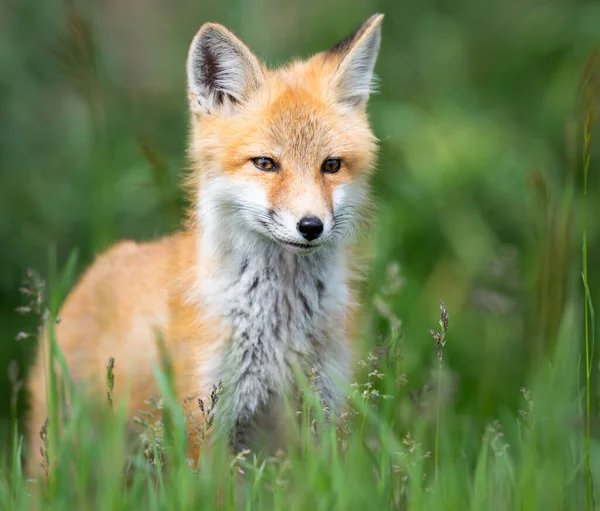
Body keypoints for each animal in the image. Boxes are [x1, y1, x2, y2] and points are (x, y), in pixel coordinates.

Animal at [25, 11, 382, 468]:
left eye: (331, 165)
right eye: (265, 163)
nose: (311, 226)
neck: (279, 321)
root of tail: (94, 270)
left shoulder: (320, 413)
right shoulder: (206, 420)